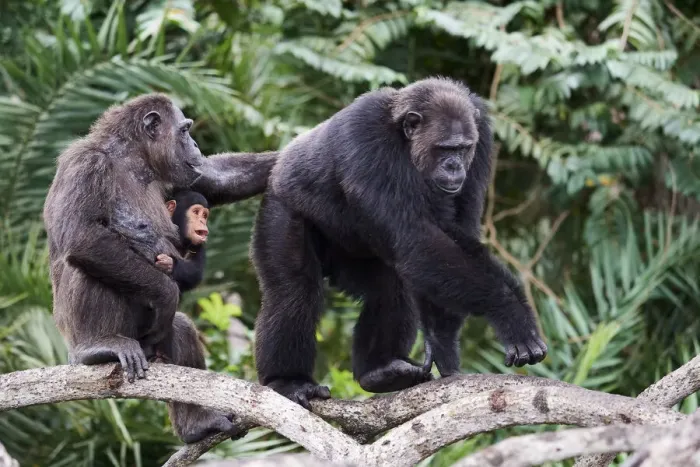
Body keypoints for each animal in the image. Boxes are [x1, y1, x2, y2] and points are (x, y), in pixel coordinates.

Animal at [43, 93, 277, 443]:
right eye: (185, 130)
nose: (194, 143)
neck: (133, 159)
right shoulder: (83, 165)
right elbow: (82, 235)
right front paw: (167, 293)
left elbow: (216, 177)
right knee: (86, 262)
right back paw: (96, 347)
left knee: (181, 329)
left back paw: (198, 424)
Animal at [250, 77, 547, 408]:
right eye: (445, 149)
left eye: (463, 148)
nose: (455, 166)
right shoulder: (364, 135)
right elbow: (415, 238)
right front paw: (511, 314)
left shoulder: (481, 142)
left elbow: (453, 234)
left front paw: (443, 343)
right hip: (281, 206)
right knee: (293, 290)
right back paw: (288, 380)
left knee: (391, 286)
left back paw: (380, 370)